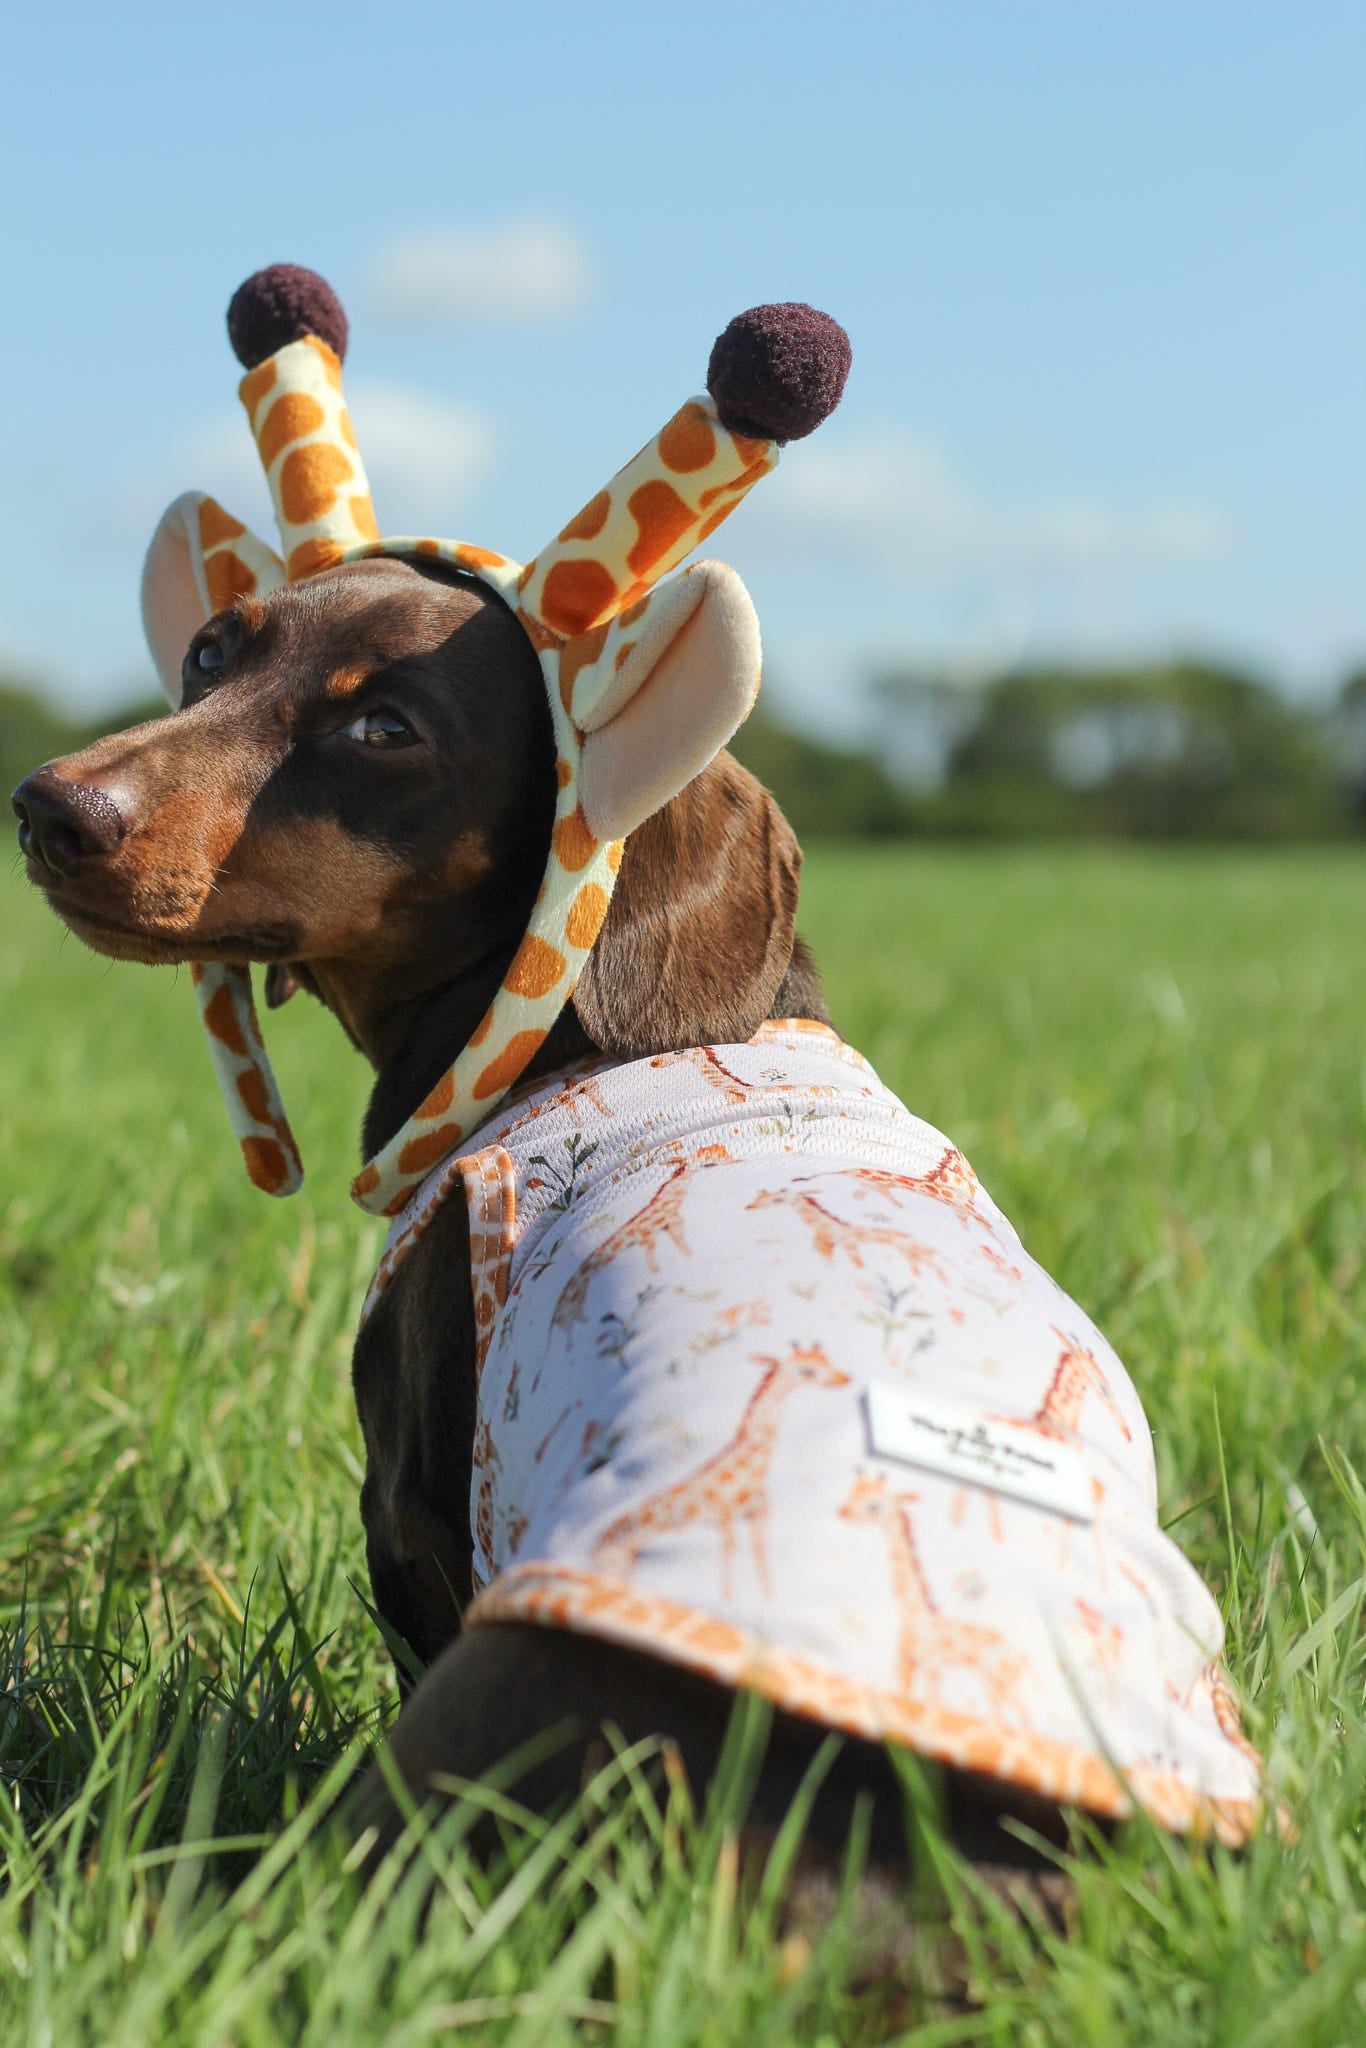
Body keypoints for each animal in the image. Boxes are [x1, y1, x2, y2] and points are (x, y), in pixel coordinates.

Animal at [593, 1343, 851, 1598]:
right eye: (807, 1371)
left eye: (825, 1358)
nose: (845, 1378)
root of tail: (595, 1543)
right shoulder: (726, 1520)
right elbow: (731, 1564)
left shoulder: (756, 1514)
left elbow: (759, 1558)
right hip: (615, 1562)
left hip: (627, 1562)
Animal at [838, 1472, 1028, 1720]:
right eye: (854, 1490)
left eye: (874, 1505)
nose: (842, 1511)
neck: (914, 1618)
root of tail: (1018, 1655)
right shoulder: (904, 1667)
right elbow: (903, 1707)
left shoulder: (932, 1669)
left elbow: (931, 1708)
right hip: (991, 1681)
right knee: (1003, 1715)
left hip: (1001, 1678)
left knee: (1023, 1713)